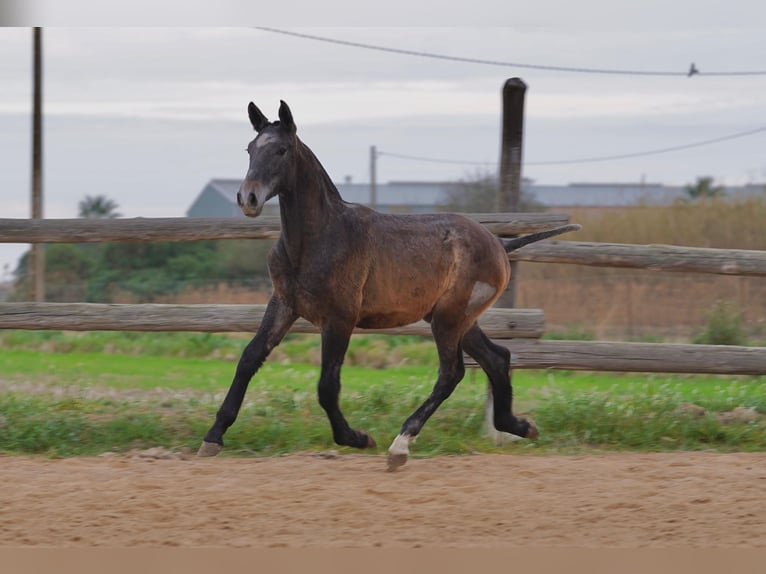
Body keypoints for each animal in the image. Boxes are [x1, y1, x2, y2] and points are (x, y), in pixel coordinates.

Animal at [200, 101, 584, 470]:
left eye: (281, 150)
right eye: (250, 149)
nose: (247, 198)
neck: (319, 238)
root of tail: (500, 245)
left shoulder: (340, 318)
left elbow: (327, 386)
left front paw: (357, 438)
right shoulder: (283, 304)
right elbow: (249, 359)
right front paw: (213, 437)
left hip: (449, 319)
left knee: (452, 373)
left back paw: (400, 446)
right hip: (457, 319)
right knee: (498, 358)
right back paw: (520, 426)